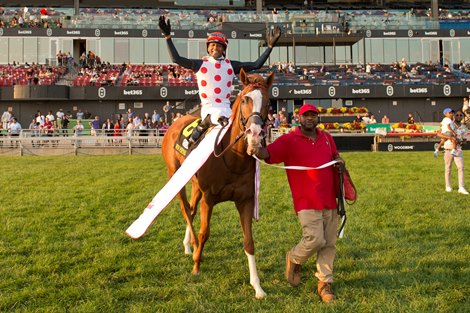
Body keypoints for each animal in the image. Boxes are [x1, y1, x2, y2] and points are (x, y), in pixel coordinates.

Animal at [162, 68, 274, 298]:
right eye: (245, 99)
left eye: (268, 102)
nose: (255, 135)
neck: (233, 158)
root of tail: (175, 122)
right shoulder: (209, 198)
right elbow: (205, 233)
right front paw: (196, 265)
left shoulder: (245, 200)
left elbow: (249, 241)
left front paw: (257, 286)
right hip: (175, 176)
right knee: (186, 210)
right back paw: (193, 246)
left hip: (195, 185)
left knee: (191, 209)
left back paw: (188, 245)